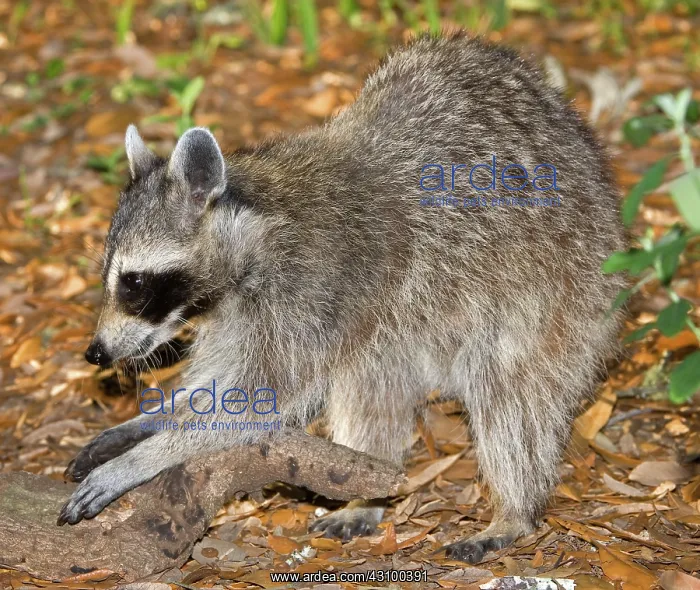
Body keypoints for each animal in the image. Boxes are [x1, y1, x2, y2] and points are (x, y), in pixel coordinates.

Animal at [58, 32, 626, 563]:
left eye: (132, 283)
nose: (96, 352)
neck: (252, 233)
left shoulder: (315, 285)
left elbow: (256, 401)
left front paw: (145, 456)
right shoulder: (242, 311)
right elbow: (219, 383)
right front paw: (152, 419)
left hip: (558, 286)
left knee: (511, 392)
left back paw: (513, 509)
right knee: (372, 381)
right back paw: (366, 495)